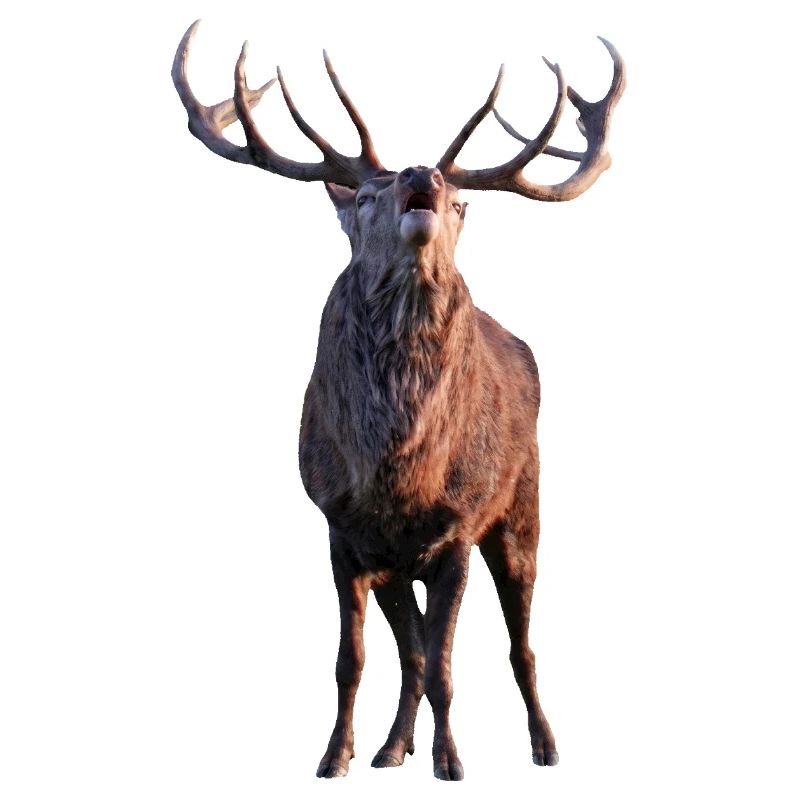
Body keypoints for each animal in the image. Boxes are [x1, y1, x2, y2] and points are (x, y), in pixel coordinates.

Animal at [172, 20, 624, 781]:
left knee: (520, 644)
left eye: (461, 205)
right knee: (409, 650)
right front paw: (336, 756)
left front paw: (451, 762)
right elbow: (353, 661)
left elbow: (444, 664)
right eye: (363, 197)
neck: (398, 470)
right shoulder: (343, 529)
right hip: (397, 565)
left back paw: (544, 744)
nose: (422, 176)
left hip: (523, 512)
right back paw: (391, 748)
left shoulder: (457, 530)